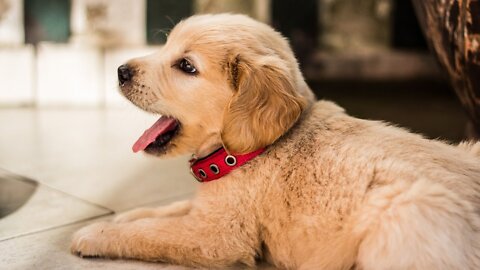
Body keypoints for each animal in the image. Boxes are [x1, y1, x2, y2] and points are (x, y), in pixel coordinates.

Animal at [71, 14, 480, 270]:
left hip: (402, 205)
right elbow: (165, 210)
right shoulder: (209, 209)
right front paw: (125, 215)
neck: (247, 152)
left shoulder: (216, 235)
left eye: (186, 66)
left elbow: (149, 234)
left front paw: (94, 234)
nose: (120, 71)